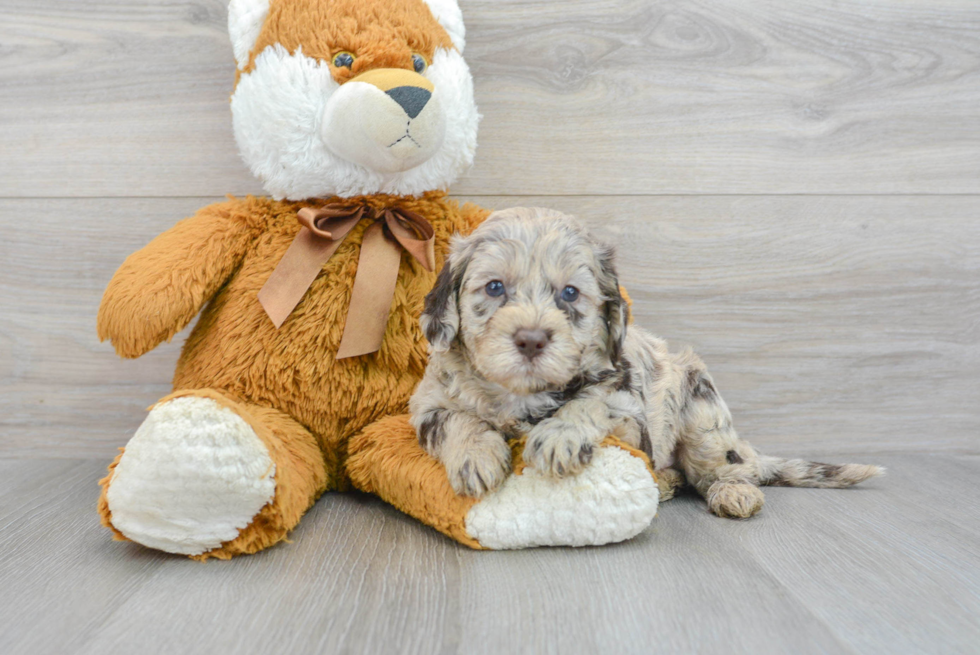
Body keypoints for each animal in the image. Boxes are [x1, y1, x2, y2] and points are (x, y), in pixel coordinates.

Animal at [410, 208, 884, 520]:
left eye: (569, 293)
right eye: (494, 287)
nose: (531, 339)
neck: (520, 396)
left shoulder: (631, 412)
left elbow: (590, 401)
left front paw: (561, 435)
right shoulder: (425, 404)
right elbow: (456, 420)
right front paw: (476, 455)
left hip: (703, 414)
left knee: (725, 469)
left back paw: (732, 492)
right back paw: (666, 483)